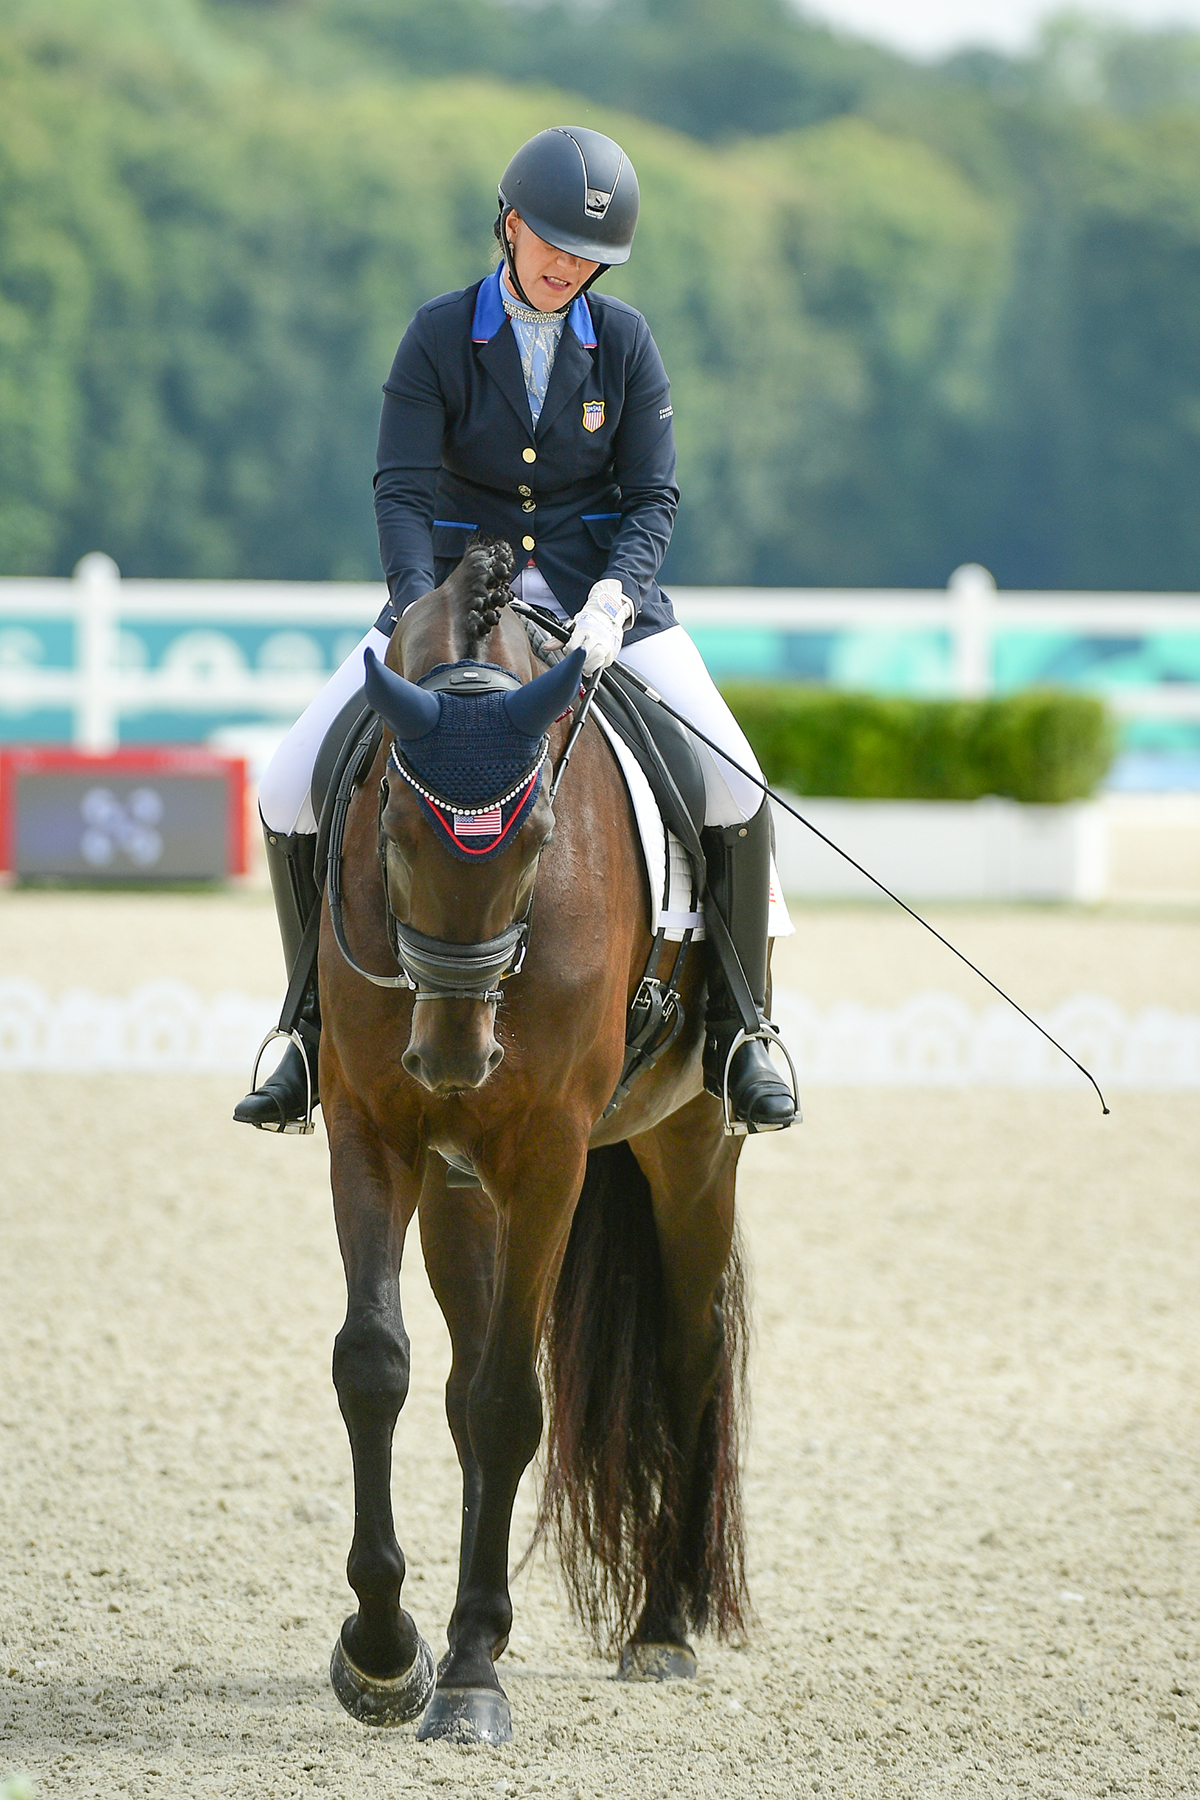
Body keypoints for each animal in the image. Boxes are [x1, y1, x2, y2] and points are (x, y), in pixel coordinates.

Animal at [318, 536, 752, 1742]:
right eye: (391, 825)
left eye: (544, 840)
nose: (456, 1057)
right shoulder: (370, 1129)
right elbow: (377, 1365)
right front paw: (384, 1653)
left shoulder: (552, 1151)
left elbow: (516, 1402)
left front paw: (468, 1675)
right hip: (461, 1181)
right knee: (462, 1376)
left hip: (690, 1147)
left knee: (685, 1354)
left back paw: (660, 1627)